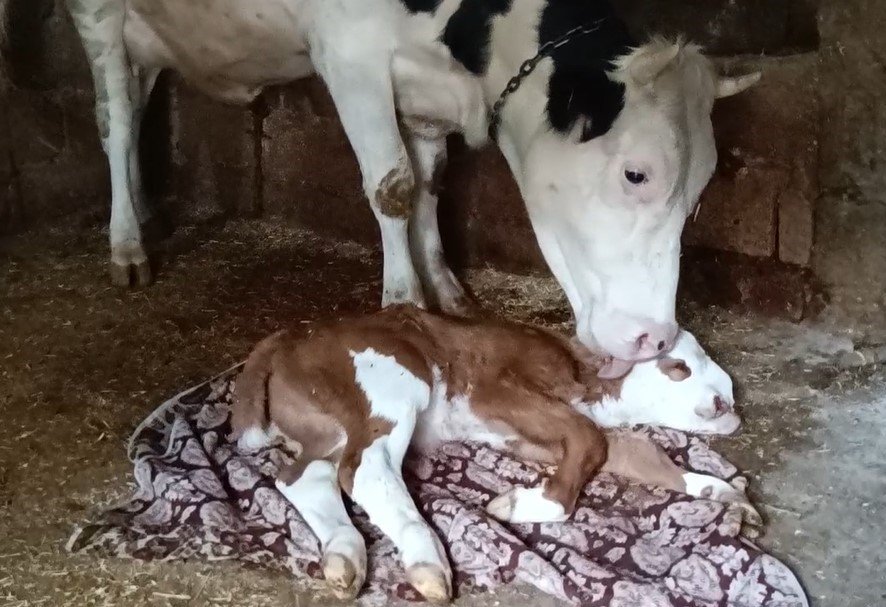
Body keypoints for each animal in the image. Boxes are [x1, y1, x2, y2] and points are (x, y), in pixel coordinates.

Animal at [0, 0, 764, 370]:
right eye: (636, 172)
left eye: (701, 193)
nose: (655, 339)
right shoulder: (349, 54)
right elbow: (393, 186)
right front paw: (402, 304)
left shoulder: (423, 90)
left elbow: (429, 183)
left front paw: (446, 291)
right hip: (100, 13)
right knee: (117, 116)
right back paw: (127, 243)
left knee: (136, 96)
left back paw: (148, 211)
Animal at [229, 308, 756, 604]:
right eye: (679, 366)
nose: (728, 399)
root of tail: (287, 336)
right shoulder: (495, 390)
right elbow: (590, 439)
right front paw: (525, 504)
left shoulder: (527, 433)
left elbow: (634, 452)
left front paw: (721, 492)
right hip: (394, 386)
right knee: (363, 469)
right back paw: (426, 562)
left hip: (326, 427)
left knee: (302, 475)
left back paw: (344, 556)